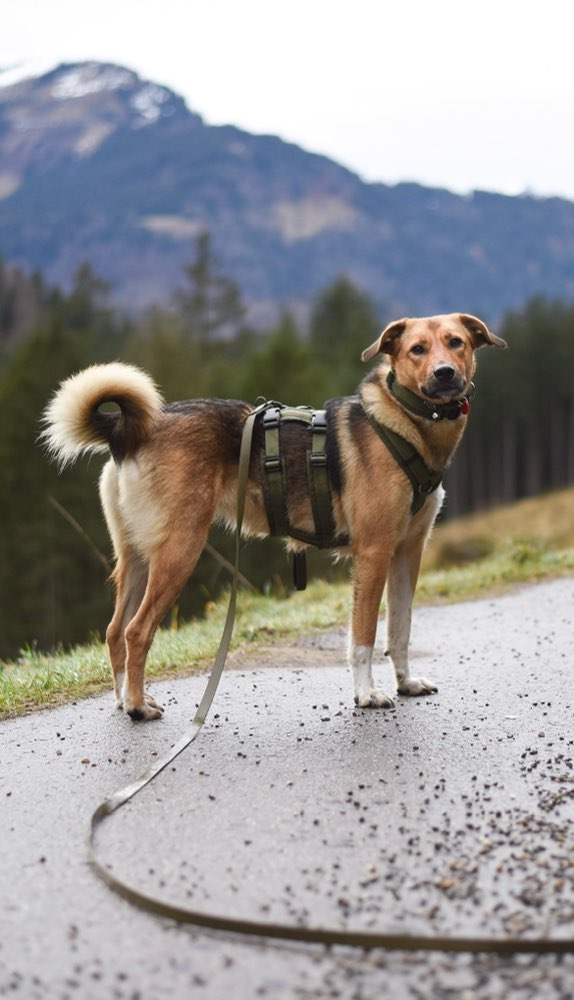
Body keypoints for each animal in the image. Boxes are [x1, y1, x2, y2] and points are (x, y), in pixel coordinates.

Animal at [42, 312, 506, 720]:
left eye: (456, 342)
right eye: (417, 349)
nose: (444, 373)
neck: (406, 423)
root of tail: (131, 431)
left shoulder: (408, 552)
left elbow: (401, 628)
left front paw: (406, 683)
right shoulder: (373, 553)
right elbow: (364, 635)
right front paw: (366, 694)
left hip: (137, 556)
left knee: (114, 631)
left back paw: (125, 700)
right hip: (179, 551)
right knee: (136, 631)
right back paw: (138, 706)